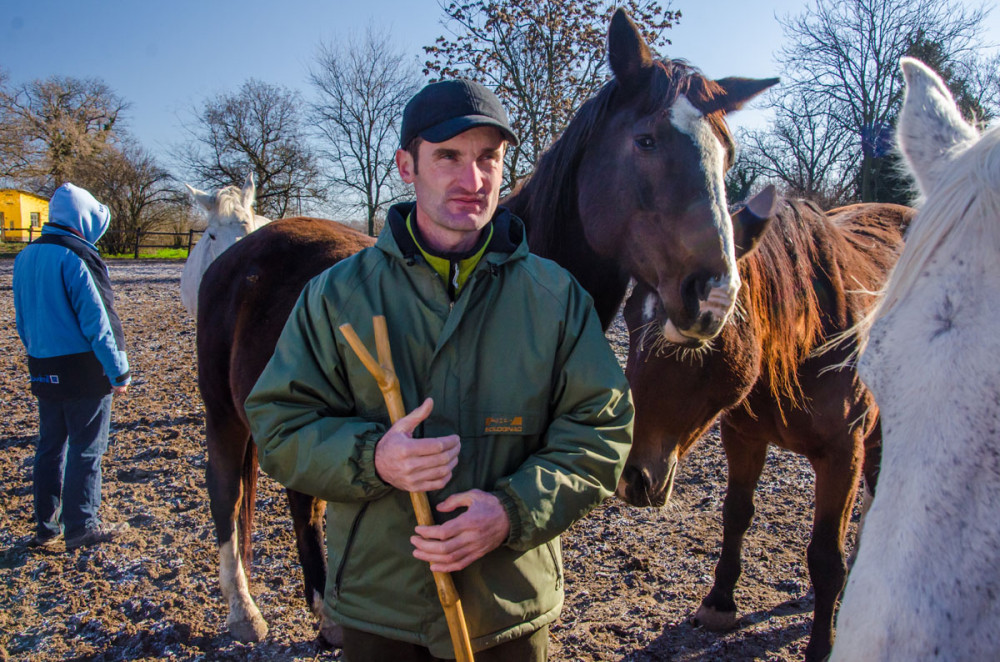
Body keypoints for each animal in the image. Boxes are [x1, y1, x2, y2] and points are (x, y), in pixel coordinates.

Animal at [616, 200, 916, 660]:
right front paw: (719, 603)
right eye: (630, 319)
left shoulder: (842, 453)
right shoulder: (744, 438)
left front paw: (822, 646)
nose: (630, 477)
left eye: (701, 329)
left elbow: (825, 555)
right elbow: (736, 514)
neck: (805, 339)